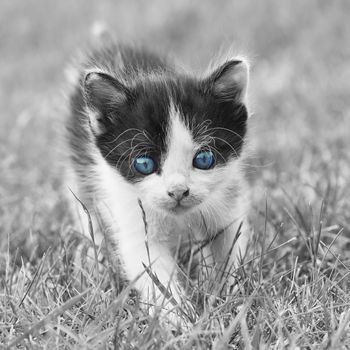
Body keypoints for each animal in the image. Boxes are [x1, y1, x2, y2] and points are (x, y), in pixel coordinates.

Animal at [66, 40, 252, 318]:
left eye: (204, 159)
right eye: (144, 164)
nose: (178, 191)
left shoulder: (226, 203)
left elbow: (228, 243)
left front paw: (230, 298)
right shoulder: (131, 211)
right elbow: (153, 274)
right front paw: (181, 320)